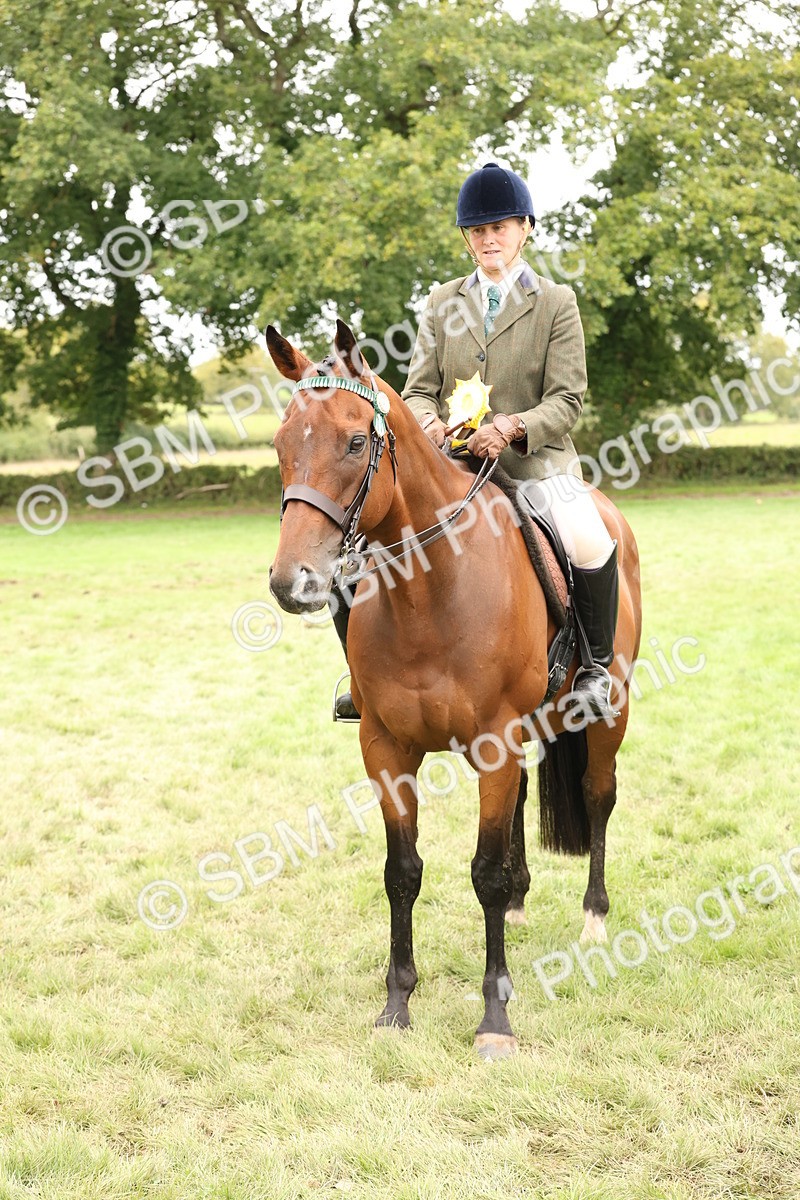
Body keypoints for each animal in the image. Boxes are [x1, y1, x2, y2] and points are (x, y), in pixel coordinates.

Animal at [266, 318, 642, 1060]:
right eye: (280, 445)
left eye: (355, 442)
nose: (293, 582)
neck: (429, 592)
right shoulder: (386, 748)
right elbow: (402, 872)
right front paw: (396, 1005)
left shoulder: (494, 742)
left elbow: (483, 874)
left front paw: (495, 1017)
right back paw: (525, 904)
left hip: (607, 713)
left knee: (598, 797)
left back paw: (593, 918)